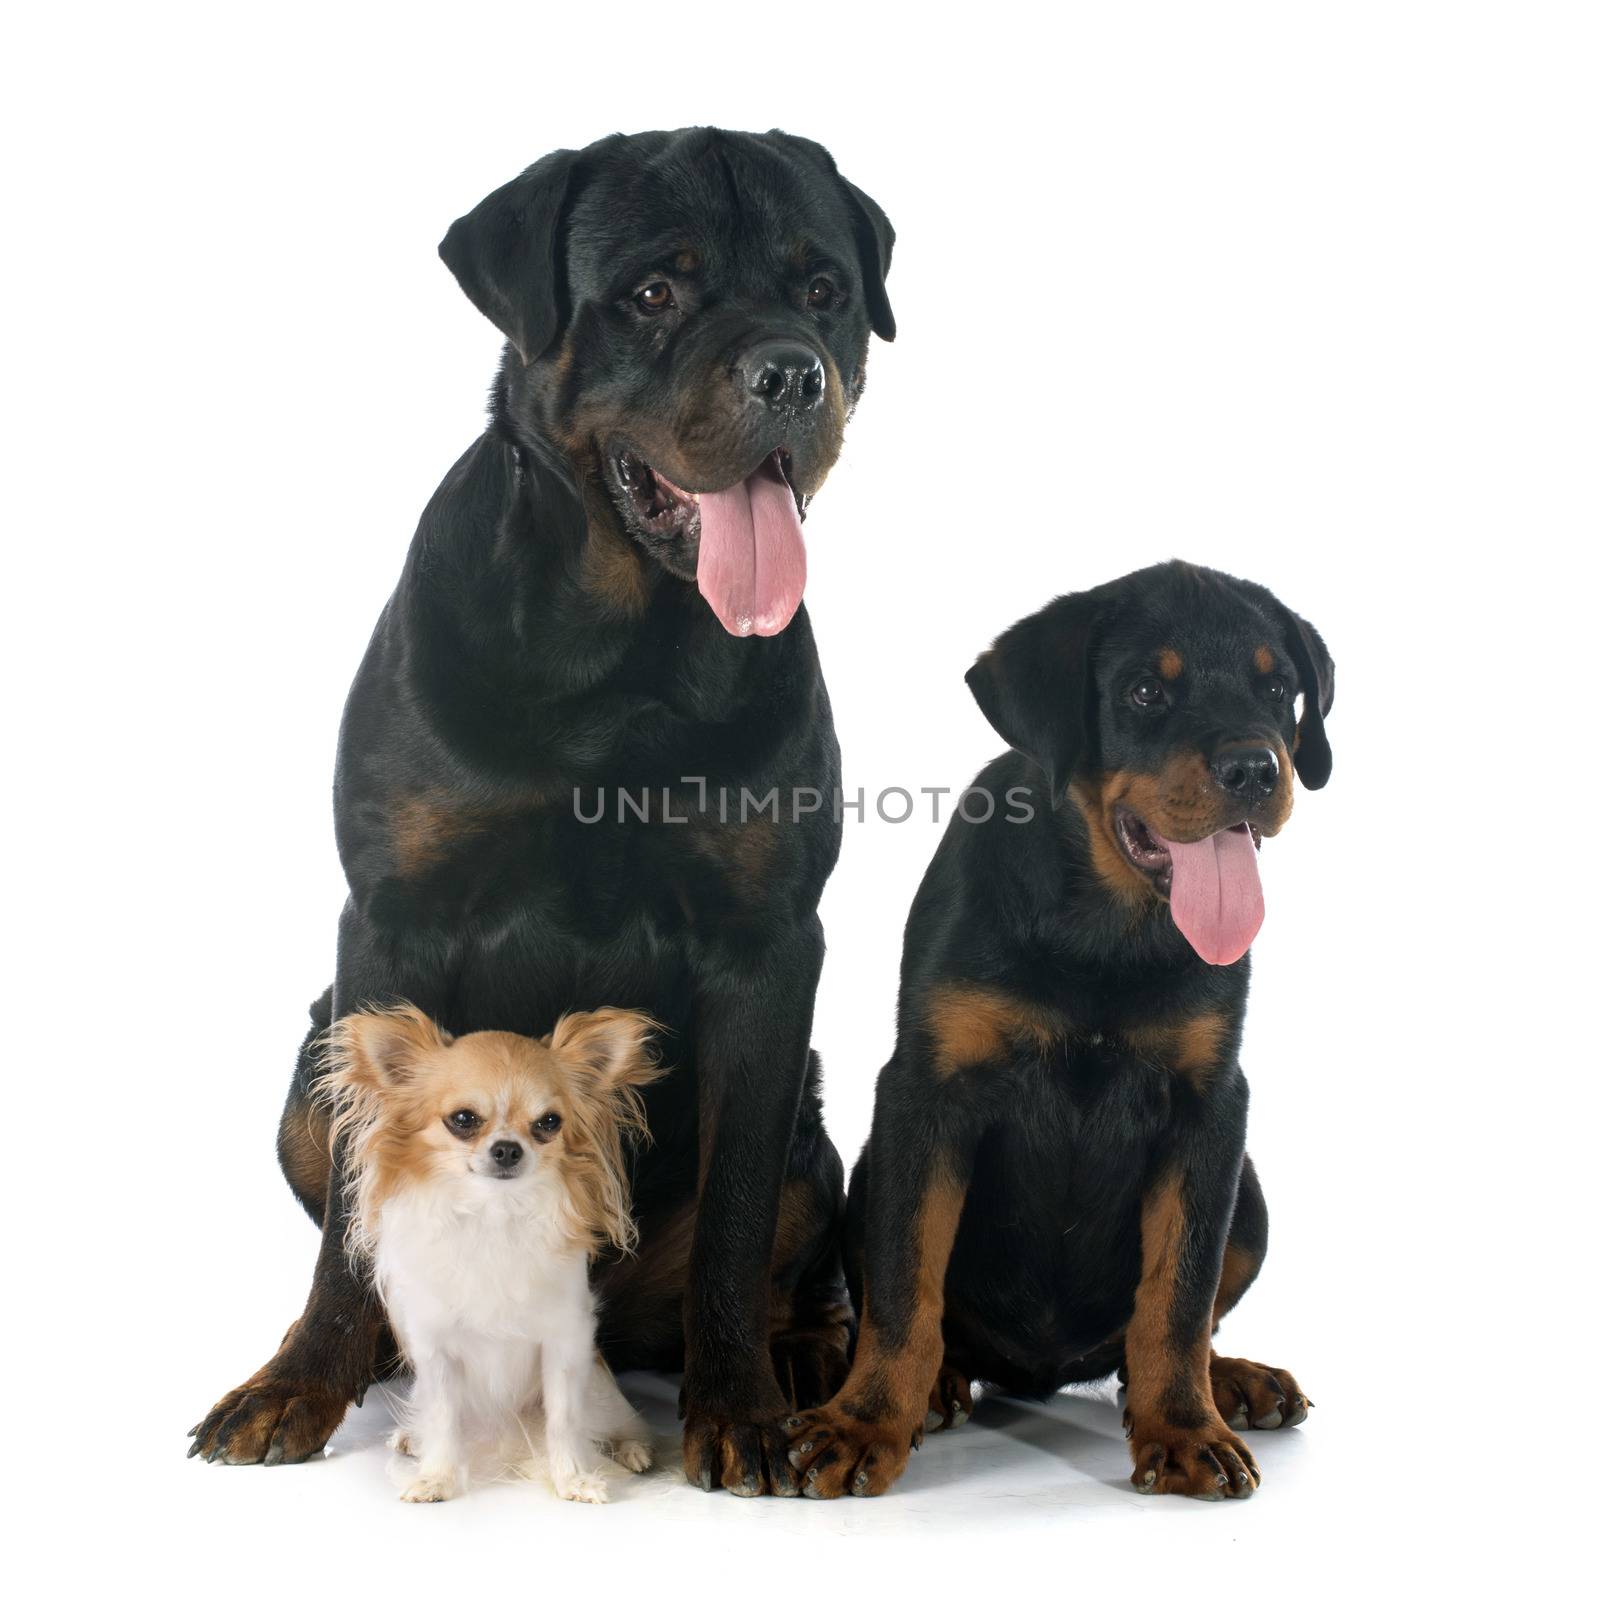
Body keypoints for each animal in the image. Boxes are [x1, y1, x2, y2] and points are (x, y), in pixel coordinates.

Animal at [184, 128, 902, 1497]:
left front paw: (737, 1409)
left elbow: (736, 1209)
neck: (615, 648)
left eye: (824, 290)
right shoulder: (392, 918)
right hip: (303, 1068)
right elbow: (354, 1213)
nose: (793, 371)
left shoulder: (768, 947)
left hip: (812, 1117)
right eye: (655, 291)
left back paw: (801, 1351)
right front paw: (299, 1384)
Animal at [780, 560, 1331, 1497]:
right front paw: (864, 1423)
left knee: (1168, 1329)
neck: (1104, 928)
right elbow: (905, 1284)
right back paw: (939, 1384)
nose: (1257, 770)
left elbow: (1179, 1295)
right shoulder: (927, 1094)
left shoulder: (1209, 1107)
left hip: (1249, 1193)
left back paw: (1230, 1382)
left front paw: (1185, 1430)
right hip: (868, 1170)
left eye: (1279, 688)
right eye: (1145, 691)